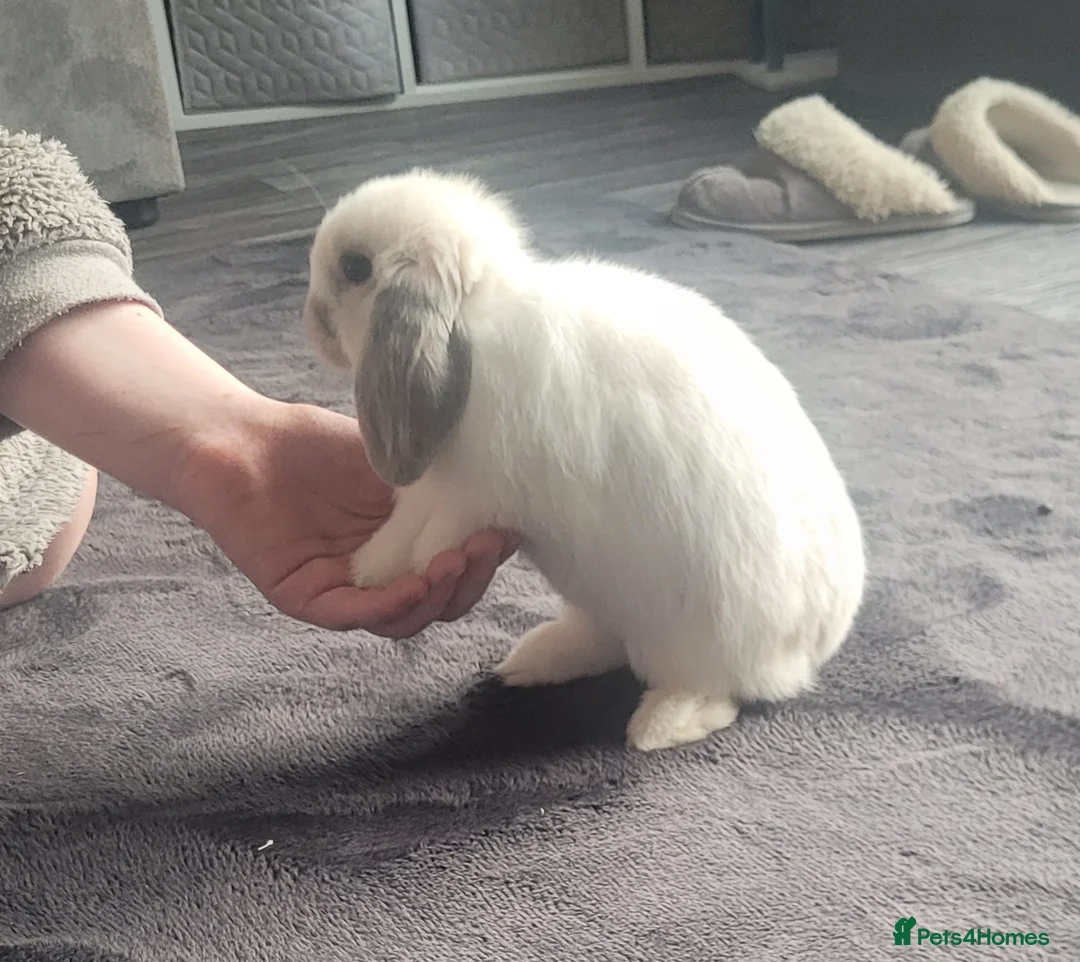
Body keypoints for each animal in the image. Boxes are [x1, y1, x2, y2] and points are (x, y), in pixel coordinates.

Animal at [301, 168, 866, 752]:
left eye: (356, 267)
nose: (312, 322)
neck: (475, 321)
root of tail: (805, 651)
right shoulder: (433, 491)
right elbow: (400, 528)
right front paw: (371, 568)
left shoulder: (473, 497)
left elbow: (430, 538)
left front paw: (395, 566)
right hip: (602, 601)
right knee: (603, 644)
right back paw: (531, 661)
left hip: (696, 643)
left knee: (713, 691)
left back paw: (659, 725)